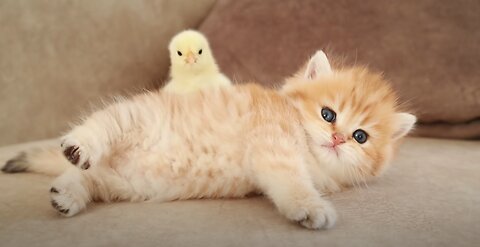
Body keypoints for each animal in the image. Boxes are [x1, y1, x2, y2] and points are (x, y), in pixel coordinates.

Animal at [1, 51, 416, 231]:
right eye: (328, 114)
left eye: (361, 137)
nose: (338, 138)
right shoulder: (274, 147)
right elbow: (292, 182)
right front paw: (310, 208)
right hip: (135, 118)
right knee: (100, 127)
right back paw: (79, 148)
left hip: (124, 183)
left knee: (86, 176)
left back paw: (67, 195)